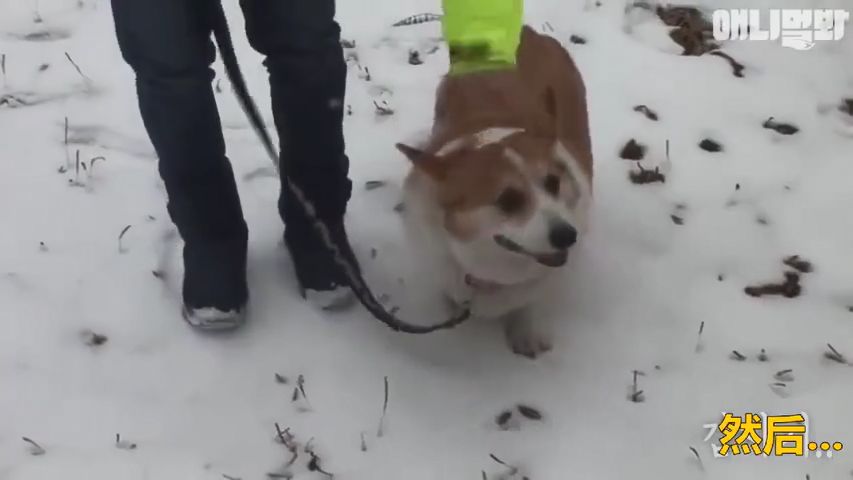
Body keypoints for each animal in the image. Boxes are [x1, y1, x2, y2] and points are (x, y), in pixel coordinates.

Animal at [394, 25, 588, 356]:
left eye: (553, 182)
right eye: (508, 199)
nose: (567, 236)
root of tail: (528, 32)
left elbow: (532, 300)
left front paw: (526, 332)